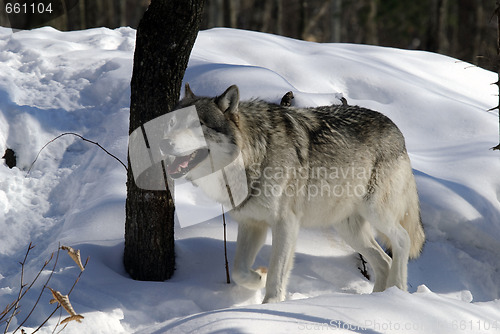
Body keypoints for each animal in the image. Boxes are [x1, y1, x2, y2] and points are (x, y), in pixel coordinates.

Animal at [168, 83, 426, 302]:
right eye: (171, 122)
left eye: (196, 125)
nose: (164, 142)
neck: (254, 155)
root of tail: (397, 130)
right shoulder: (252, 223)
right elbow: (239, 269)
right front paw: (259, 276)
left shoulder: (286, 223)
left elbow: (277, 274)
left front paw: (270, 306)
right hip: (348, 230)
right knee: (383, 261)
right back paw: (377, 301)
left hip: (376, 213)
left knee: (402, 240)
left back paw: (397, 293)